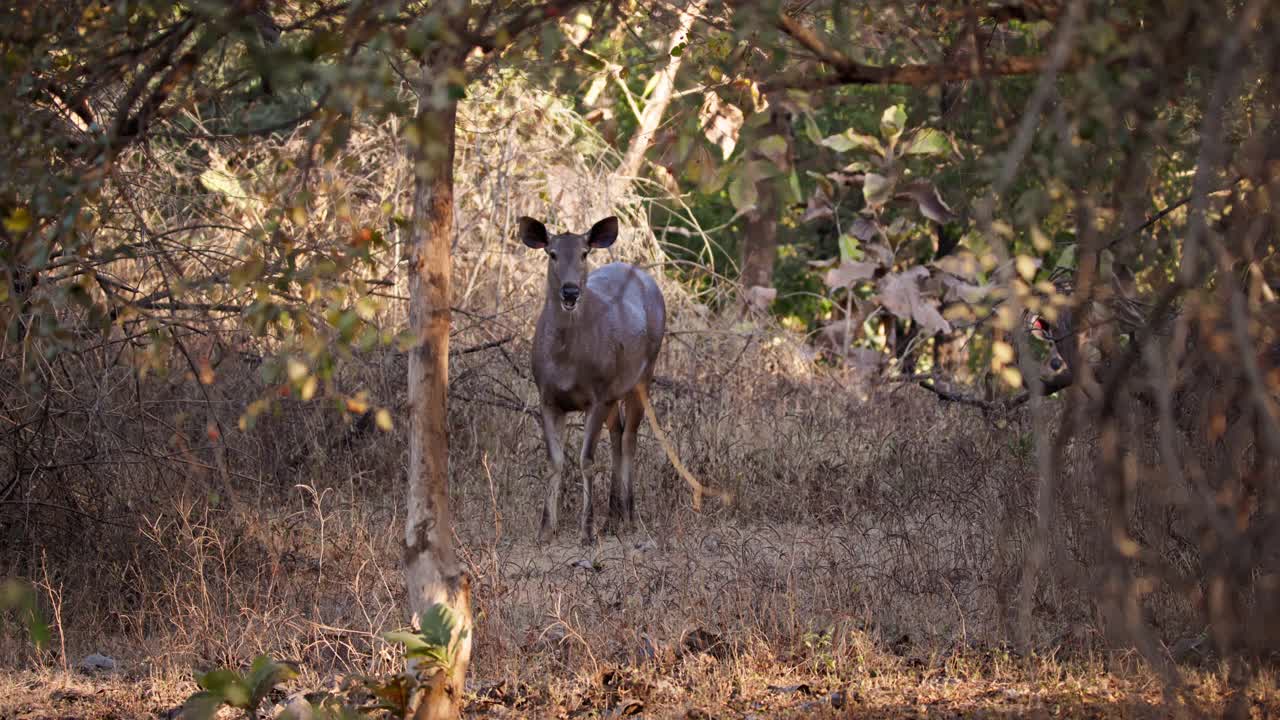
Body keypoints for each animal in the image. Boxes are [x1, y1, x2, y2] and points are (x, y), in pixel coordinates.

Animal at [519, 215, 721, 540]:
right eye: (552, 253)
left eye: (584, 253)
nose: (570, 291)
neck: (566, 362)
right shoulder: (547, 396)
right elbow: (554, 461)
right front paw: (546, 530)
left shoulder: (597, 395)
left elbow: (586, 460)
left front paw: (586, 531)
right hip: (615, 389)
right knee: (617, 433)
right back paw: (612, 516)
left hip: (644, 374)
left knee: (630, 437)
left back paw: (628, 515)